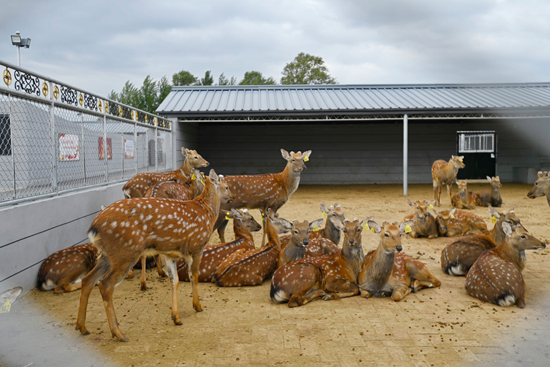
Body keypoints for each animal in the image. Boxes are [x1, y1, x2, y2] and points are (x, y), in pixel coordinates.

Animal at [76, 170, 232, 342]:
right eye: (226, 186)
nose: (231, 198)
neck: (206, 211)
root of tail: (94, 228)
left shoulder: (170, 253)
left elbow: (175, 280)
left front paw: (176, 317)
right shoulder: (197, 246)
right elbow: (194, 275)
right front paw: (197, 306)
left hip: (109, 254)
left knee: (88, 279)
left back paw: (82, 327)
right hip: (126, 251)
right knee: (105, 285)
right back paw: (118, 333)